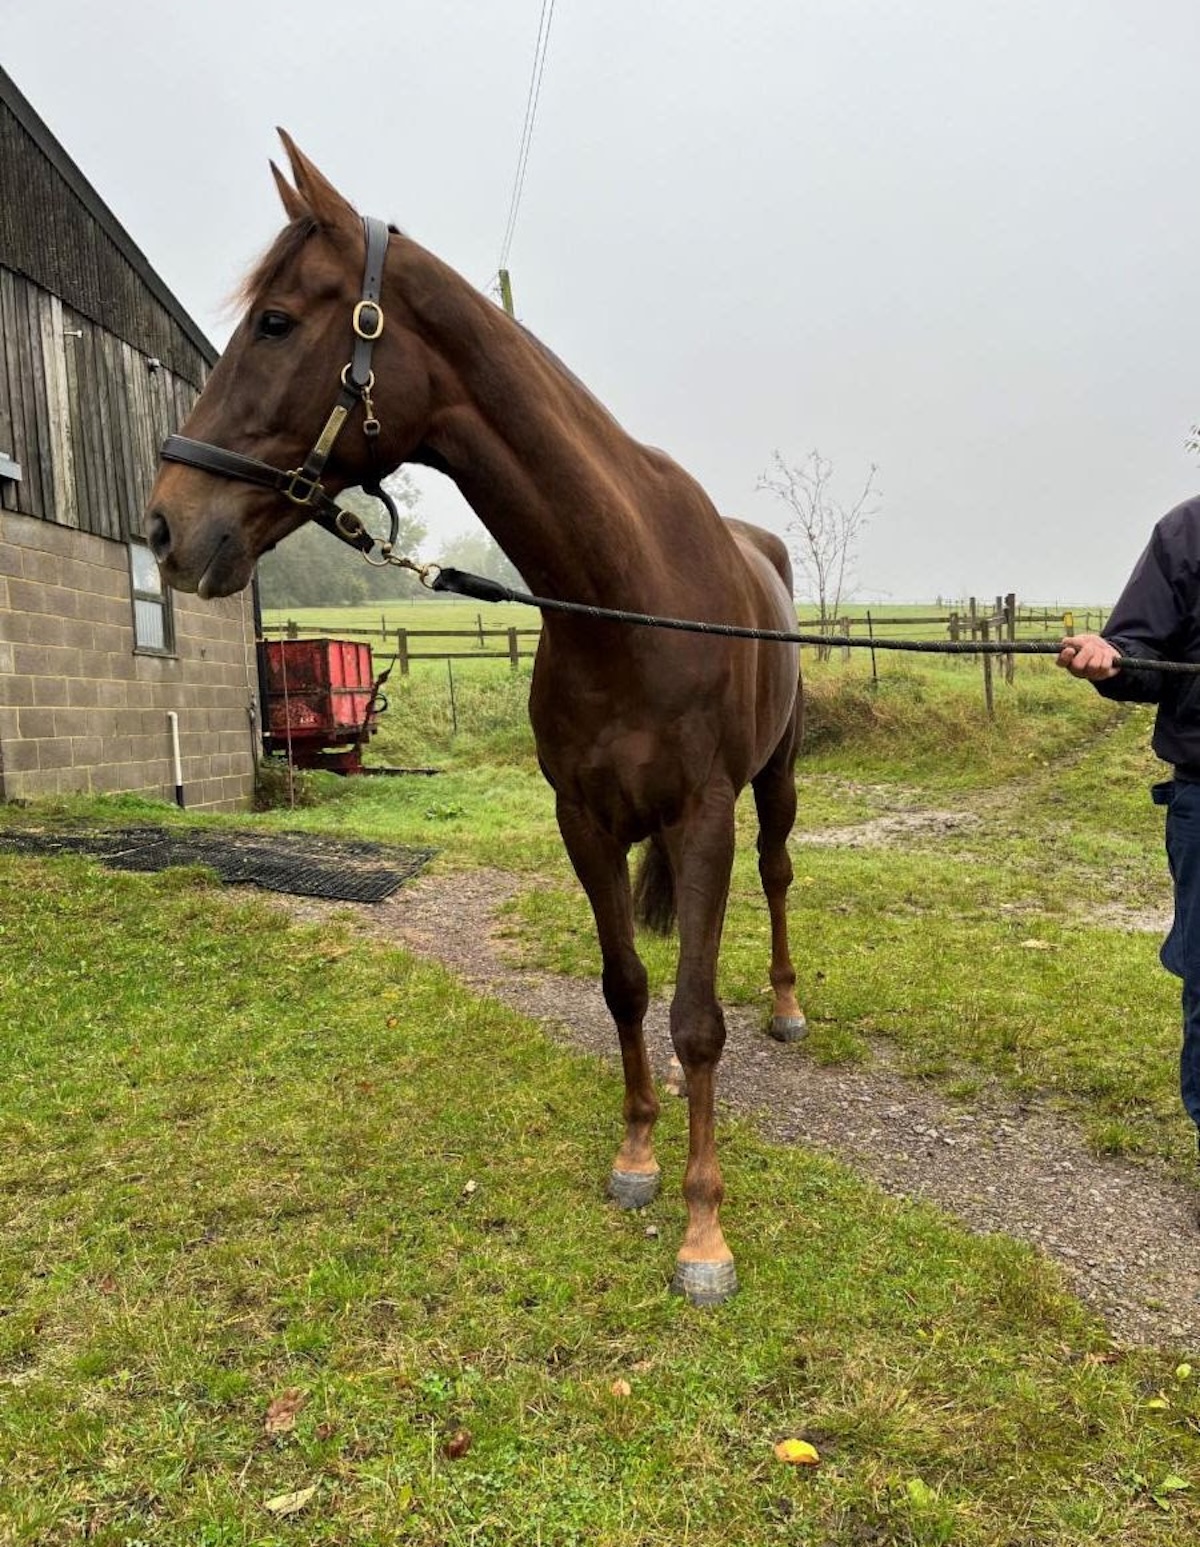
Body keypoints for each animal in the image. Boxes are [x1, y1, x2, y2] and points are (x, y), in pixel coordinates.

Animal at [150, 136, 804, 1305]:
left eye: (275, 320)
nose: (168, 525)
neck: (625, 593)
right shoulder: (584, 820)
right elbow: (627, 987)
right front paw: (638, 1157)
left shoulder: (704, 817)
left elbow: (696, 1020)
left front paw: (704, 1233)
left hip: (772, 784)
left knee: (776, 881)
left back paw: (786, 1003)